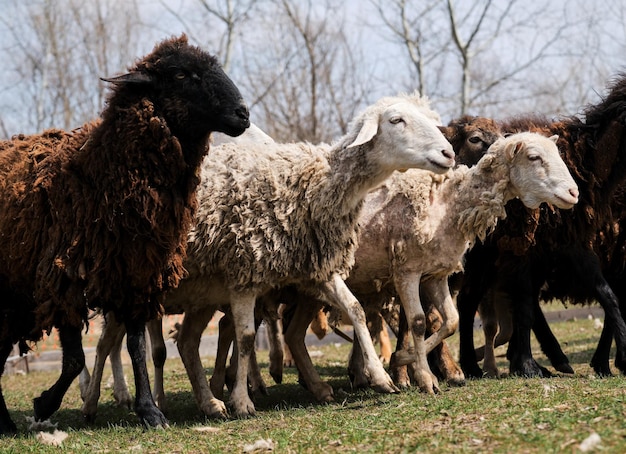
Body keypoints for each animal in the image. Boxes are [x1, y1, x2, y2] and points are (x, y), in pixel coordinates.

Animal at [0, 33, 249, 434]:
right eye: (181, 74)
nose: (244, 114)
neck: (100, 171)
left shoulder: (135, 272)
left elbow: (137, 347)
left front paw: (149, 410)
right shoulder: (63, 280)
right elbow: (74, 359)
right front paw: (44, 404)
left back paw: (4, 422)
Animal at [81, 92, 454, 418]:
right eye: (396, 120)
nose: (448, 153)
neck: (316, 183)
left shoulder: (316, 266)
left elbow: (357, 310)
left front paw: (381, 377)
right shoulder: (243, 273)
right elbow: (246, 338)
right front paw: (242, 402)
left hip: (200, 290)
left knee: (185, 343)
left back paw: (209, 403)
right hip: (130, 282)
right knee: (106, 344)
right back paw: (94, 402)